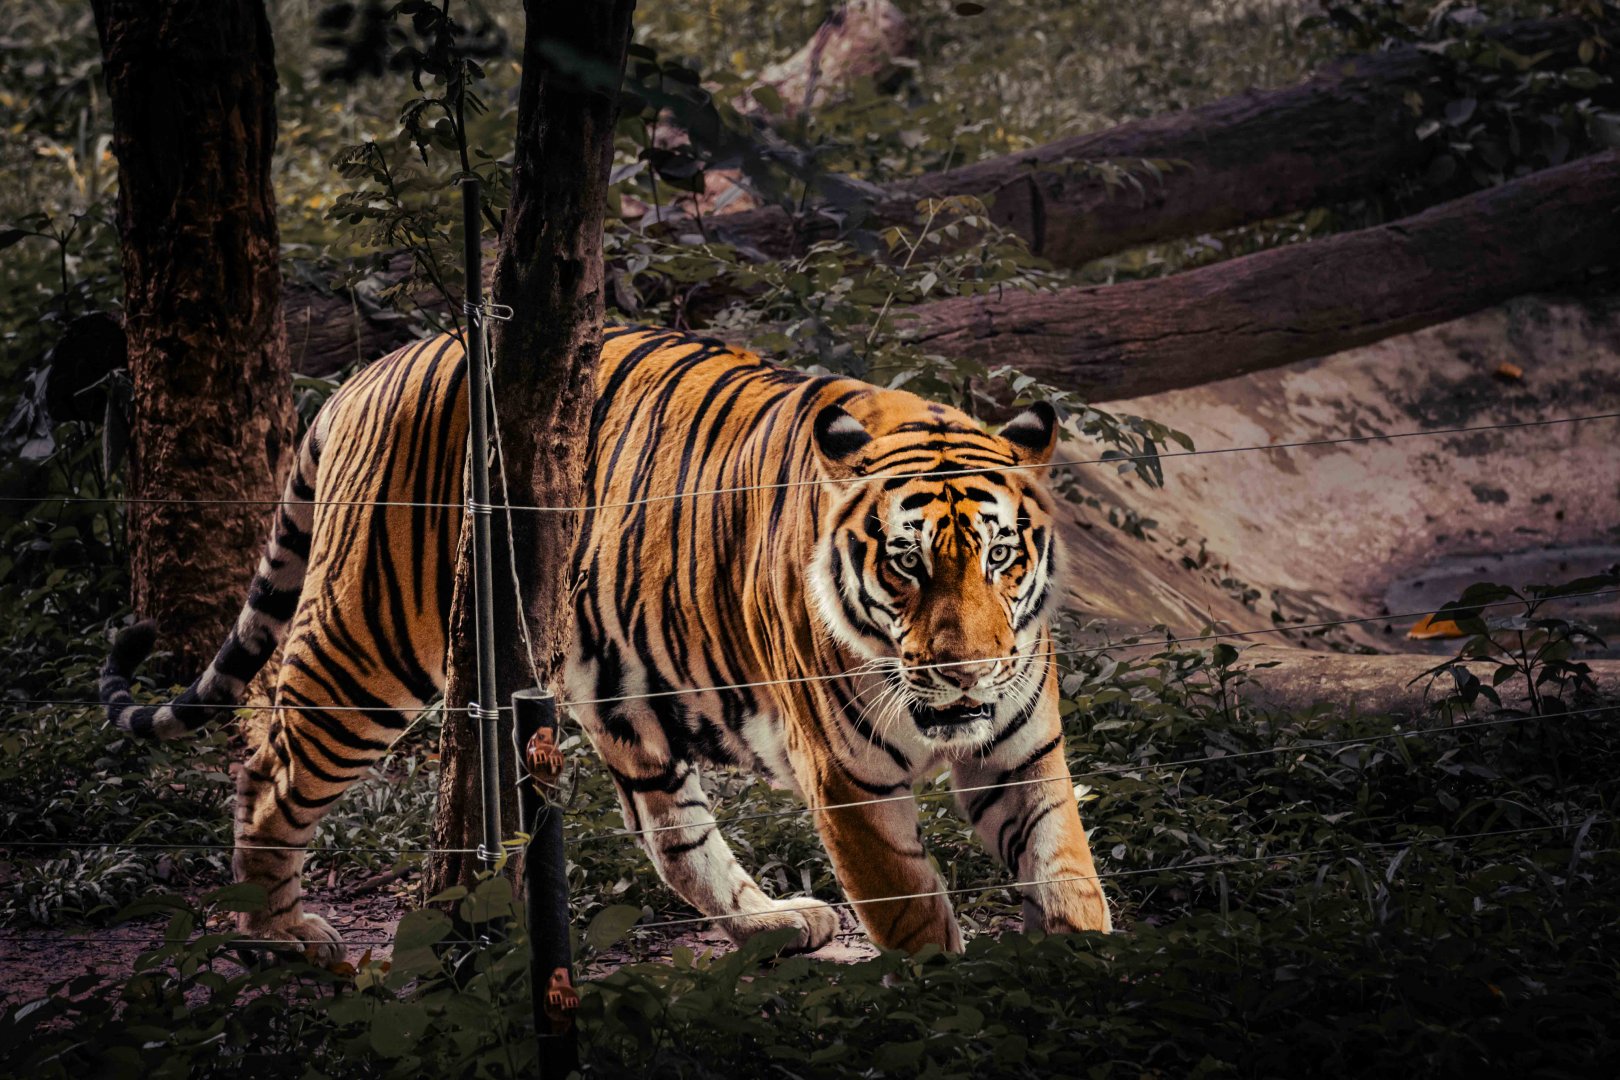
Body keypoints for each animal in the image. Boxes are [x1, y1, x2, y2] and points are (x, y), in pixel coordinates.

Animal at [100, 326, 1111, 961]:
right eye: (906, 564)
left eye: (1001, 557)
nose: (964, 671)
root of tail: (372, 369)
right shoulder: (849, 779)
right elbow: (912, 912)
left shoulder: (1024, 752)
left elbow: (1067, 875)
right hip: (366, 644)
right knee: (266, 771)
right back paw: (276, 932)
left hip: (623, 695)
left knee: (670, 832)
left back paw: (773, 923)